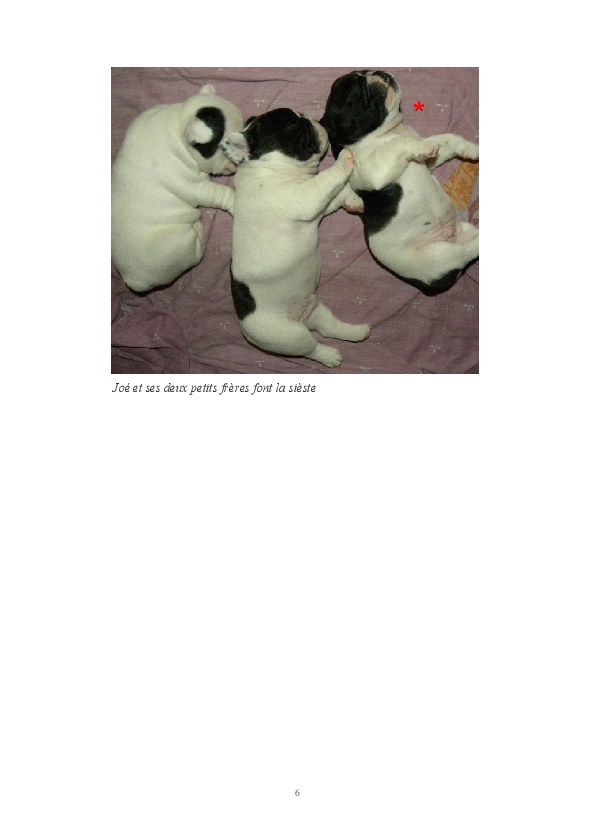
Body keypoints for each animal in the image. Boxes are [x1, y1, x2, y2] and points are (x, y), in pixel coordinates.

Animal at [111, 85, 244, 293]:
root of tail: (133, 279)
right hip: (179, 246)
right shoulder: (197, 187)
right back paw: (198, 228)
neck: (179, 124)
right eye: (228, 145)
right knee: (196, 254)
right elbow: (222, 194)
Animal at [220, 108, 370, 368]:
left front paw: (352, 199)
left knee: (329, 326)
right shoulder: (306, 198)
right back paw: (329, 356)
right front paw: (344, 159)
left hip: (316, 308)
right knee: (310, 348)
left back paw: (357, 331)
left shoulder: (318, 202)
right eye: (294, 126)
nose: (314, 120)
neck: (268, 168)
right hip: (288, 336)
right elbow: (327, 179)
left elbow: (336, 193)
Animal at [320, 70, 479, 295]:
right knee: (466, 251)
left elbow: (447, 140)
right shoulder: (372, 170)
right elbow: (398, 144)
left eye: (365, 71)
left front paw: (473, 149)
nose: (377, 72)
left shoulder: (430, 158)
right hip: (438, 256)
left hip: (463, 232)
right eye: (353, 91)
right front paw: (420, 148)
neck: (386, 132)